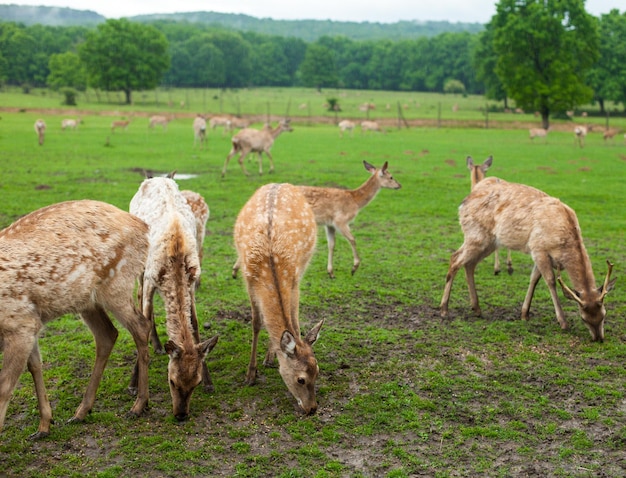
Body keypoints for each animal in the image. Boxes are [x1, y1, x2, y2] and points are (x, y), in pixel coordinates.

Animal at [0, 200, 151, 438]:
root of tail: (143, 226)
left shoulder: (19, 322)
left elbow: (5, 387)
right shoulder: (29, 323)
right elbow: (35, 365)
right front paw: (44, 425)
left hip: (118, 283)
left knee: (141, 327)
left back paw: (138, 405)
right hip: (87, 300)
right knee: (108, 334)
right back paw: (81, 411)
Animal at [128, 174, 218, 420]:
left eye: (195, 383)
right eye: (172, 381)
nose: (181, 415)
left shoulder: (191, 284)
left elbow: (195, 324)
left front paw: (210, 381)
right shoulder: (150, 279)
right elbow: (144, 319)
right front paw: (134, 385)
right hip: (140, 268)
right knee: (138, 298)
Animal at [232, 183, 324, 414]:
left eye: (318, 371)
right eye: (301, 379)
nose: (312, 408)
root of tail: (279, 184)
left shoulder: (294, 279)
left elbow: (295, 322)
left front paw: (269, 358)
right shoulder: (249, 282)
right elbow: (257, 323)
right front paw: (250, 374)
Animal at [438, 176, 616, 344]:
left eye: (604, 314)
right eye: (583, 318)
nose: (599, 338)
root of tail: (463, 203)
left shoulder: (541, 254)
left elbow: (534, 279)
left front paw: (524, 314)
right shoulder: (538, 248)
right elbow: (550, 281)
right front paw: (563, 322)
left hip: (489, 242)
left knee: (469, 264)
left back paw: (476, 308)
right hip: (476, 235)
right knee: (455, 259)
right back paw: (444, 309)